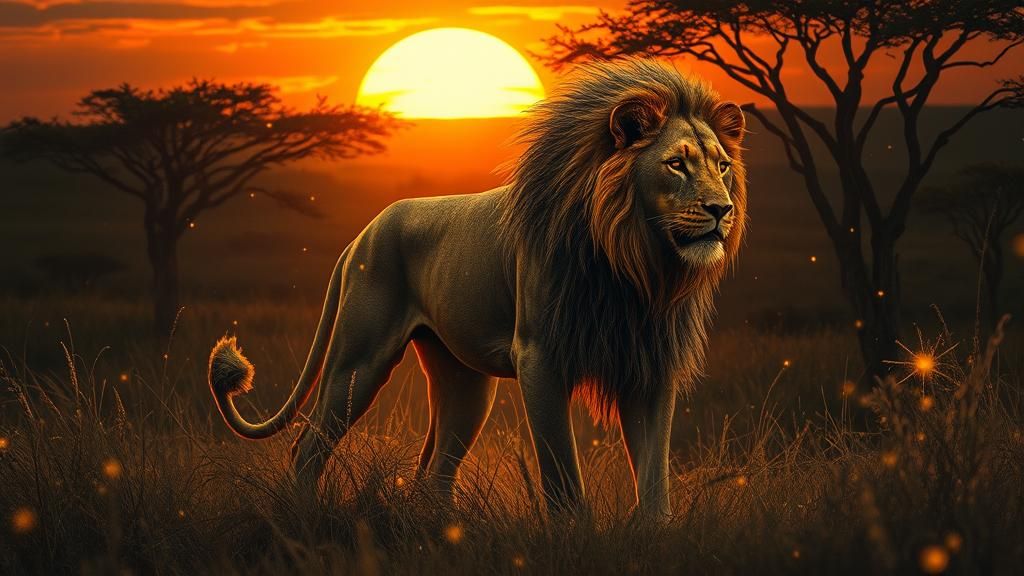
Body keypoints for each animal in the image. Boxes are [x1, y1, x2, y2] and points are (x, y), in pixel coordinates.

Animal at [209, 58, 747, 517]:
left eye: (722, 165)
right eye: (676, 164)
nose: (722, 210)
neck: (635, 267)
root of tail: (362, 234)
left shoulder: (650, 365)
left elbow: (655, 480)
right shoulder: (540, 358)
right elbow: (563, 476)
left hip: (465, 384)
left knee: (435, 473)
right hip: (358, 362)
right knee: (308, 445)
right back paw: (301, 516)